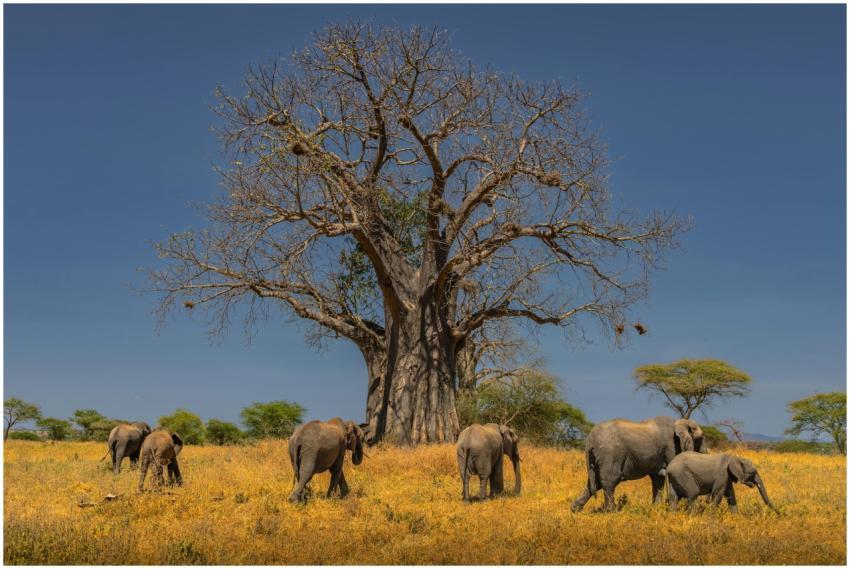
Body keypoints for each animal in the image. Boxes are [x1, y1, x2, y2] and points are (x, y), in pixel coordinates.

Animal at [571, 416, 705, 512]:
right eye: (700, 439)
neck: (681, 421)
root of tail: (590, 440)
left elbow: (658, 479)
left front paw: (656, 509)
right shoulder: (671, 447)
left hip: (597, 458)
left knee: (594, 483)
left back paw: (575, 510)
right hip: (610, 454)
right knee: (609, 481)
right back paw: (611, 512)